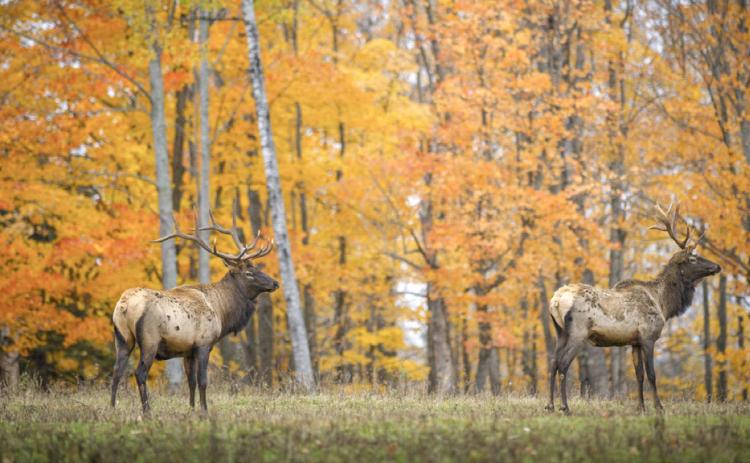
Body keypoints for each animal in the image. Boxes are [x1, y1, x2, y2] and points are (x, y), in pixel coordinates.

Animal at [110, 205, 278, 414]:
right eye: (249, 273)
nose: (275, 282)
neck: (222, 312)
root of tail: (124, 305)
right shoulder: (204, 344)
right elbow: (203, 381)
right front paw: (204, 410)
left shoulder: (187, 351)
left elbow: (190, 382)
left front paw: (191, 409)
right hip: (150, 340)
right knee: (139, 372)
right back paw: (147, 411)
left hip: (122, 338)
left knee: (116, 371)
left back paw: (112, 407)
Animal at [545, 203, 721, 414]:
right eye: (693, 259)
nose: (717, 266)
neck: (663, 303)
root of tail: (556, 301)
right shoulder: (647, 336)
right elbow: (652, 374)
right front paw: (658, 407)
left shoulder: (634, 341)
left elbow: (639, 375)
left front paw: (641, 407)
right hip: (578, 332)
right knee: (563, 364)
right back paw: (565, 407)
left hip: (560, 331)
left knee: (553, 362)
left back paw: (550, 405)